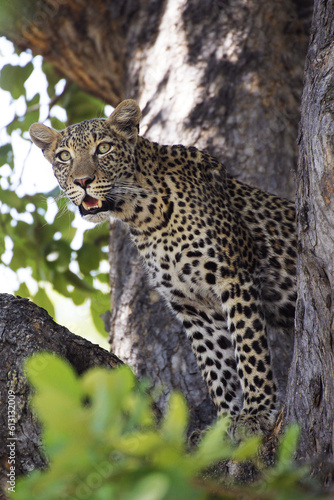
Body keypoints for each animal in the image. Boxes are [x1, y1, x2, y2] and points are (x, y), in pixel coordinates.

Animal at [30, 100, 296, 438]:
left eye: (103, 149)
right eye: (64, 157)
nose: (82, 182)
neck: (143, 216)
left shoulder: (234, 276)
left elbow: (249, 349)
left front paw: (256, 413)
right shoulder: (192, 305)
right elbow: (215, 366)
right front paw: (222, 427)